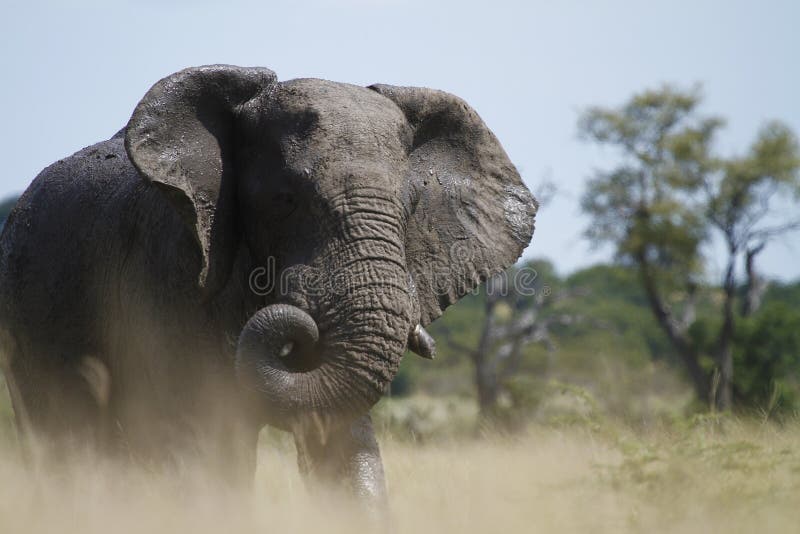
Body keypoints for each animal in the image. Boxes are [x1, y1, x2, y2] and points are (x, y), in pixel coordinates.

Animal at [0, 66, 536, 502]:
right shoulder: (168, 271)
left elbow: (344, 447)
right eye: (286, 200)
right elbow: (206, 449)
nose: (301, 325)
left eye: (408, 207)